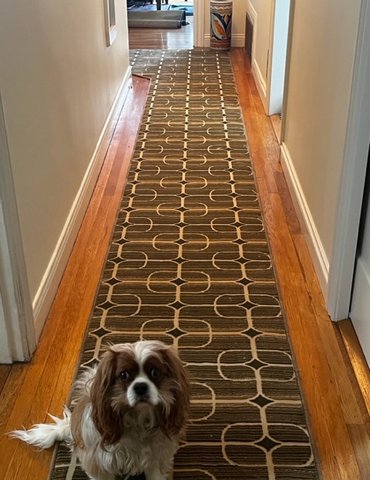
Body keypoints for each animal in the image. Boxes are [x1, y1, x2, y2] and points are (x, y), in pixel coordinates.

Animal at [11, 342, 191, 480]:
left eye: (155, 372)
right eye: (124, 375)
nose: (140, 386)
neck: (137, 419)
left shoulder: (156, 456)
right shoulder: (100, 461)